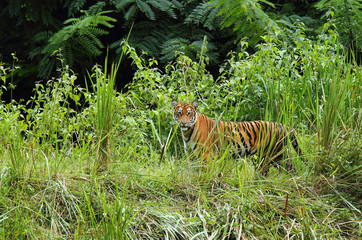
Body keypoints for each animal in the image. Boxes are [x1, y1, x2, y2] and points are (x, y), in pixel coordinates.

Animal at [171, 99, 306, 174]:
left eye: (189, 113)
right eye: (179, 113)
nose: (183, 123)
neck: (187, 133)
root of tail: (282, 125)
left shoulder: (206, 155)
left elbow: (203, 171)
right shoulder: (191, 155)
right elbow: (192, 170)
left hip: (266, 156)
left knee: (264, 173)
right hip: (279, 154)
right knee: (291, 168)